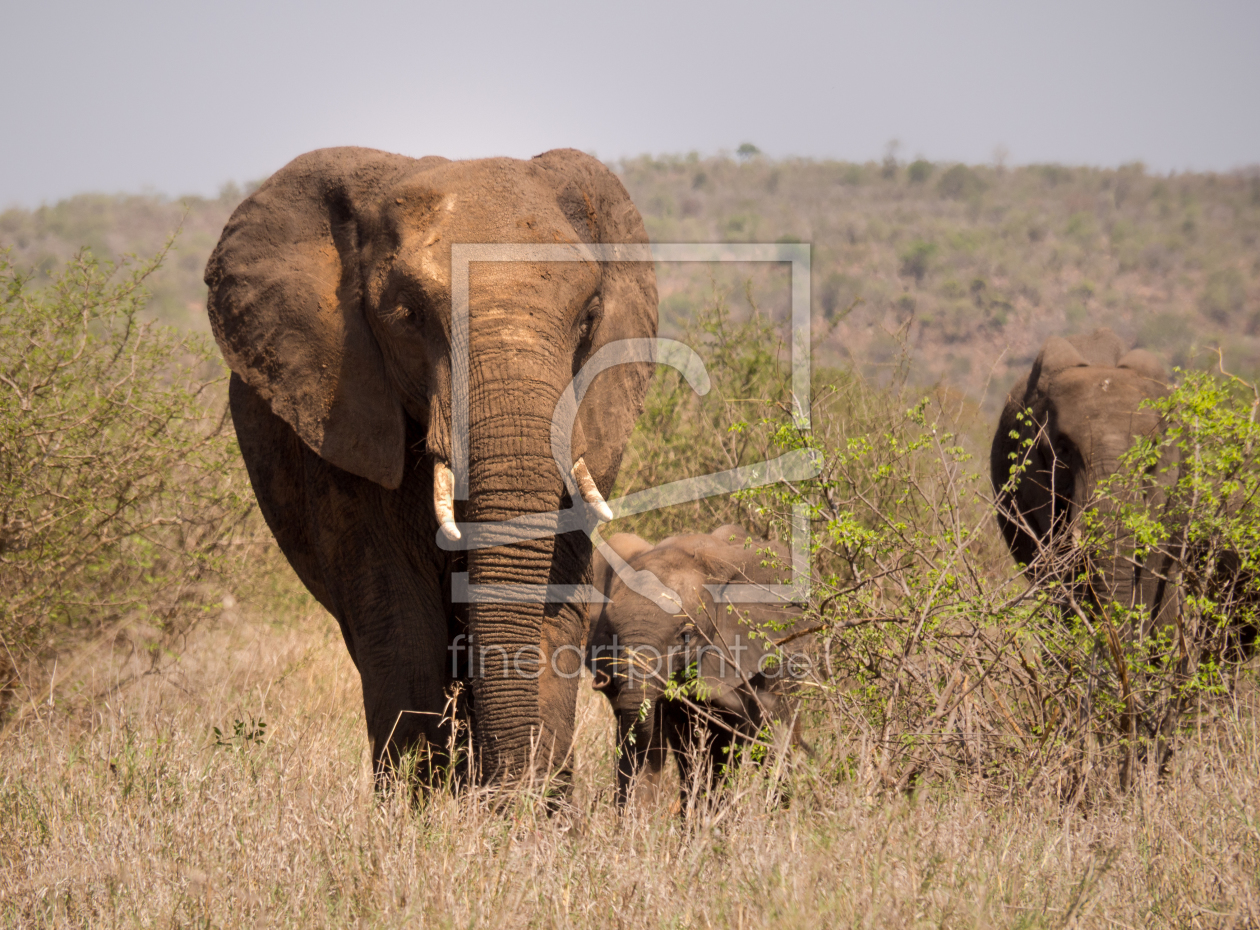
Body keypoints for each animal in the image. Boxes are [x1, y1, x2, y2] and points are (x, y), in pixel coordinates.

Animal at [204, 144, 660, 781]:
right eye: (407, 315)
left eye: (589, 318)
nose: (508, 790)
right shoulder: (346, 415)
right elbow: (400, 620)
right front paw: (421, 801)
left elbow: (553, 605)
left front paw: (533, 802)